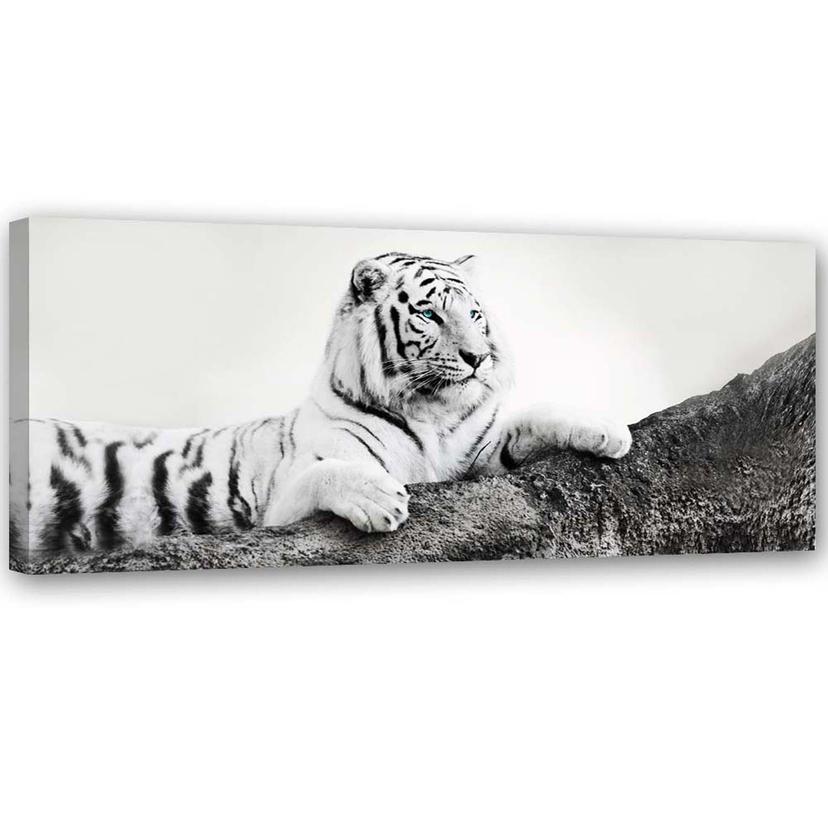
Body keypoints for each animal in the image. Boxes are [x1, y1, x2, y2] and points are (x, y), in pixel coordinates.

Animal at [9, 252, 632, 559]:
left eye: (475, 315)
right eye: (430, 314)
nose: (479, 358)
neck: (432, 413)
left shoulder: (479, 451)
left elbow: (535, 417)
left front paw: (609, 430)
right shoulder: (282, 500)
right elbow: (330, 473)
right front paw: (382, 500)